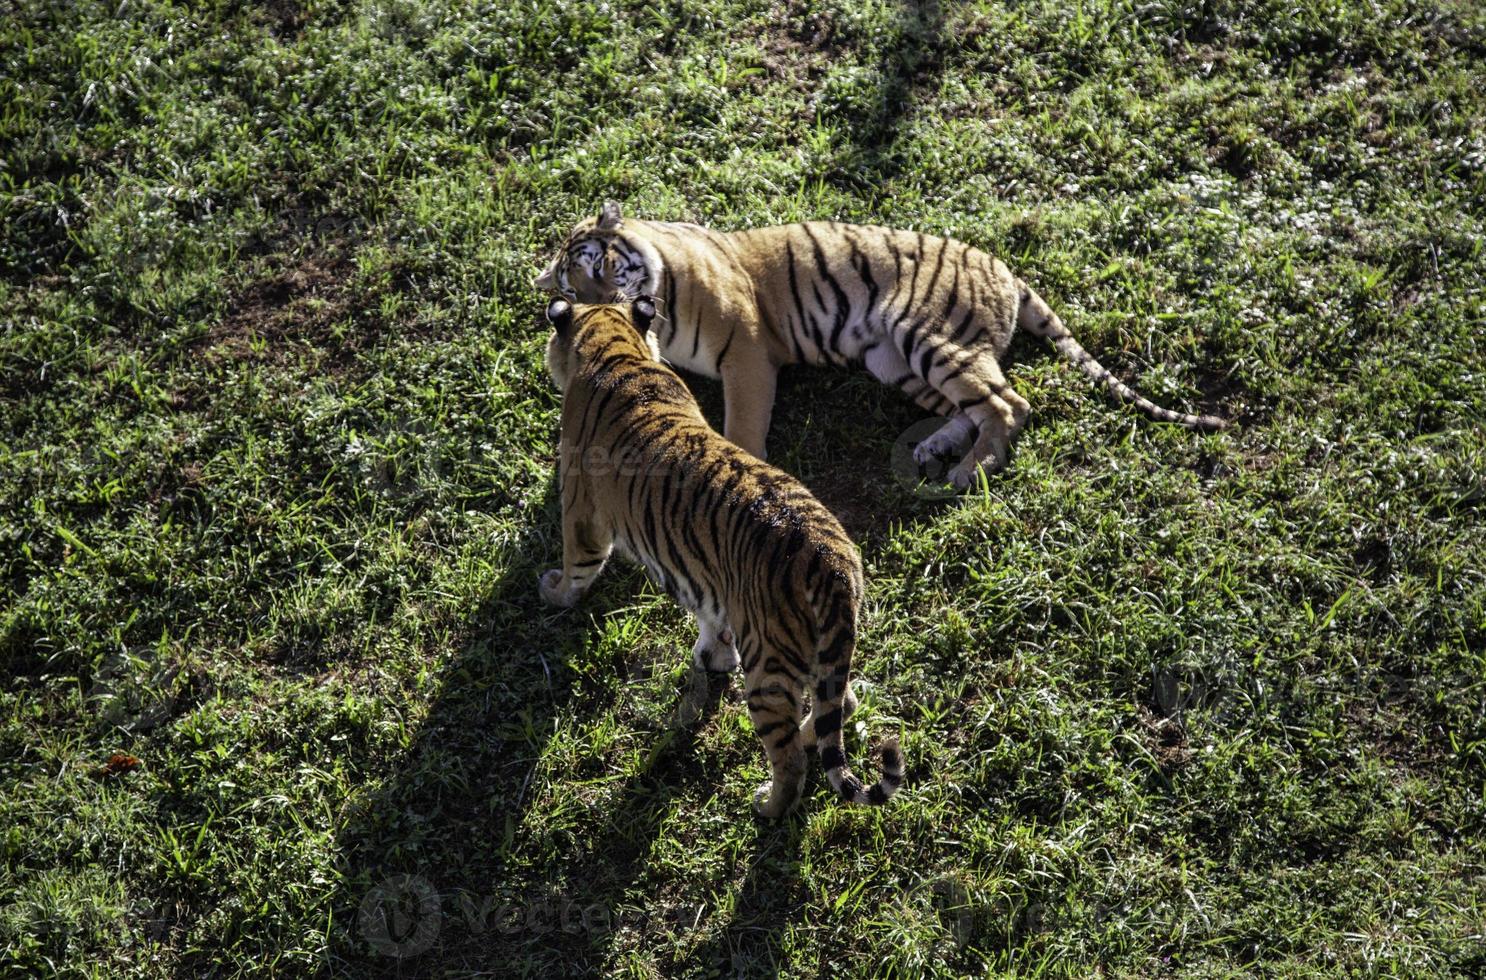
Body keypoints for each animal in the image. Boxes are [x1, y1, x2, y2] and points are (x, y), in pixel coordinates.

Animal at [529, 200, 1224, 490]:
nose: (597, 304)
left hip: (929, 336)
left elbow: (743, 427)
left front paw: (739, 463)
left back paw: (968, 473)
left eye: (599, 264)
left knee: (1009, 404)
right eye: (569, 283)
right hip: (895, 360)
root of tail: (1006, 271)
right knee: (972, 406)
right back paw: (936, 449)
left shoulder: (748, 353)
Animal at [537, 295, 897, 814]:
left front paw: (554, 592)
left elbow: (577, 566)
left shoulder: (580, 512)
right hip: (826, 651)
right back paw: (810, 737)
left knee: (790, 759)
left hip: (768, 667)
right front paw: (713, 656)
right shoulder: (707, 579)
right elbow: (709, 615)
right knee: (841, 704)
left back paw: (767, 805)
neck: (617, 347)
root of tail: (829, 559)